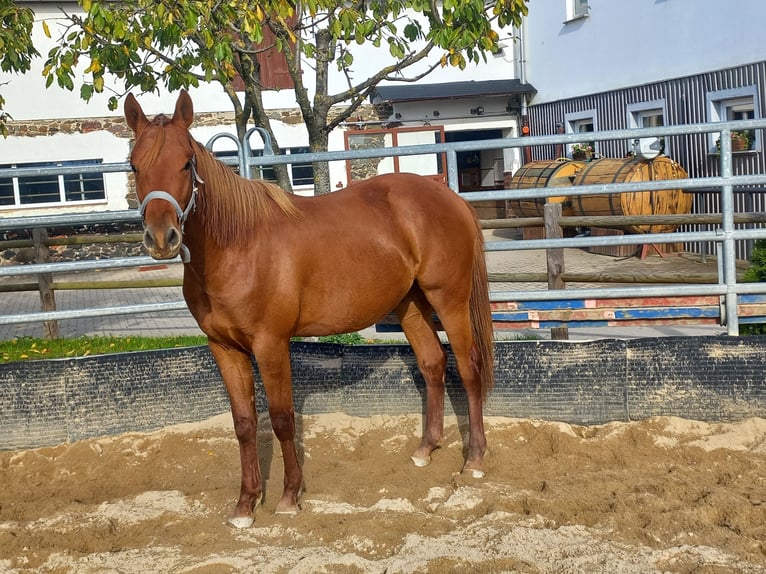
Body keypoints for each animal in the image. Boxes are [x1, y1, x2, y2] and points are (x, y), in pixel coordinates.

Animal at [124, 91, 498, 532]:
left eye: (186, 162)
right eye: (134, 164)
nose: (161, 237)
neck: (236, 246)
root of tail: (451, 198)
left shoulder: (271, 345)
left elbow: (282, 419)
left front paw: (289, 497)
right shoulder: (223, 348)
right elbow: (244, 424)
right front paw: (245, 505)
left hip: (449, 300)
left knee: (469, 367)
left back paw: (475, 459)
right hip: (410, 304)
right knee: (432, 364)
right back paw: (426, 449)